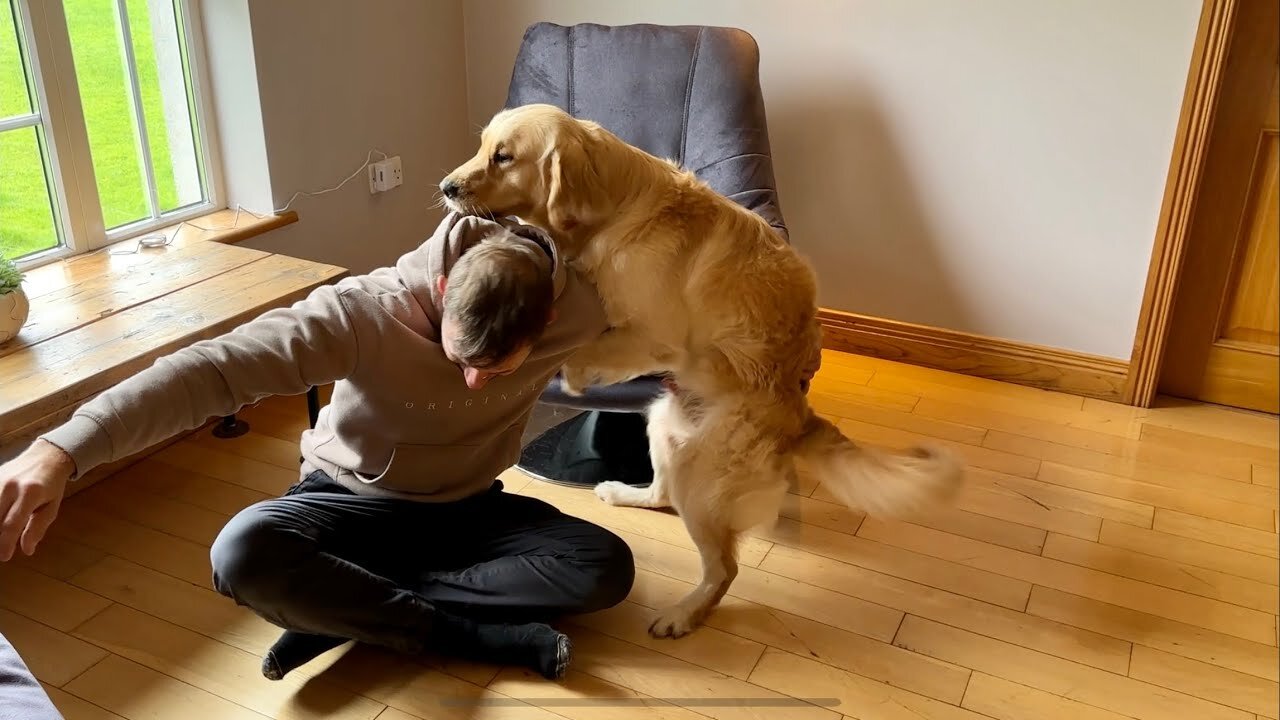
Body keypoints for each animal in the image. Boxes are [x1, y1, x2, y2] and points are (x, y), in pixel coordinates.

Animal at [442, 103, 962, 635]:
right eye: (483, 147)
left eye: (504, 157)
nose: (446, 188)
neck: (611, 214)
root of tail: (799, 418)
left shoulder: (654, 336)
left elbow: (579, 348)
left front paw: (557, 368)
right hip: (661, 426)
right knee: (661, 494)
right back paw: (621, 493)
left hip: (702, 477)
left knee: (723, 567)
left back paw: (683, 614)